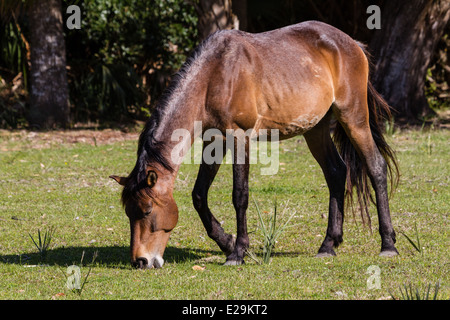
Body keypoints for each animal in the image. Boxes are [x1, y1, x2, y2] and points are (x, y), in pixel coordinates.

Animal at [110, 21, 400, 268]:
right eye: (128, 213)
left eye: (147, 211)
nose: (140, 261)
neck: (214, 75)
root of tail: (352, 44)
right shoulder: (213, 140)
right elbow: (199, 195)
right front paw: (227, 243)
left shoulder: (239, 138)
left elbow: (240, 195)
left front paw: (238, 252)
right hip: (315, 130)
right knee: (337, 173)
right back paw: (328, 245)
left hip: (354, 118)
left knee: (376, 167)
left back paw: (388, 244)